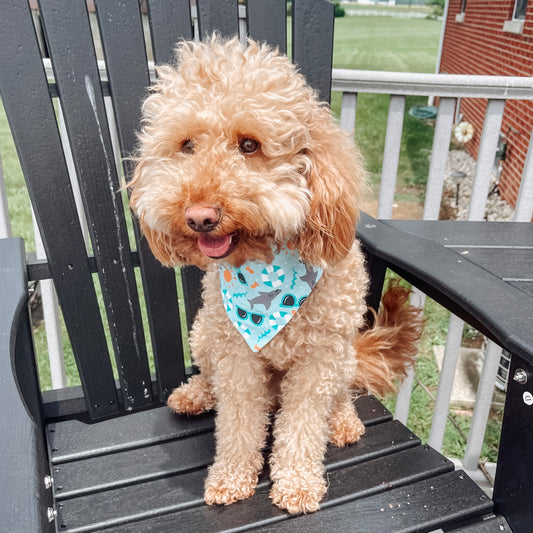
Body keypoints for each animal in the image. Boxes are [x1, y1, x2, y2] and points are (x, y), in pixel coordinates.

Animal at [129, 36, 420, 512]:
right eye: (186, 145)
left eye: (250, 145)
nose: (199, 217)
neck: (267, 267)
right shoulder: (237, 356)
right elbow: (237, 422)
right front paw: (230, 477)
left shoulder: (318, 361)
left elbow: (302, 424)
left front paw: (297, 483)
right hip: (204, 332)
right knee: (213, 379)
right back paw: (195, 394)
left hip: (342, 355)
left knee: (340, 393)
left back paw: (343, 422)